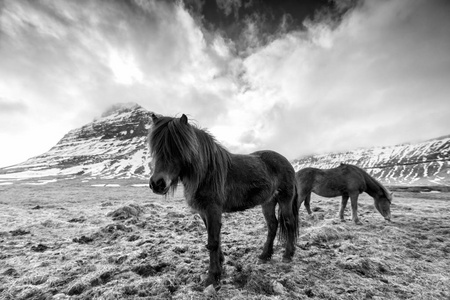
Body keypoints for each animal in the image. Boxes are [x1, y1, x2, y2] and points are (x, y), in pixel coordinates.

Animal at [148, 113, 298, 288]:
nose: (157, 183)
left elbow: (212, 241)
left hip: (285, 200)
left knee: (289, 223)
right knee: (273, 225)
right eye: (155, 148)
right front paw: (220, 263)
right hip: (268, 202)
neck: (206, 172)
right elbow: (215, 238)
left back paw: (288, 255)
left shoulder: (213, 210)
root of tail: (286, 161)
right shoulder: (204, 212)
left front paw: (213, 277)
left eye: (178, 148)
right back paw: (264, 255)